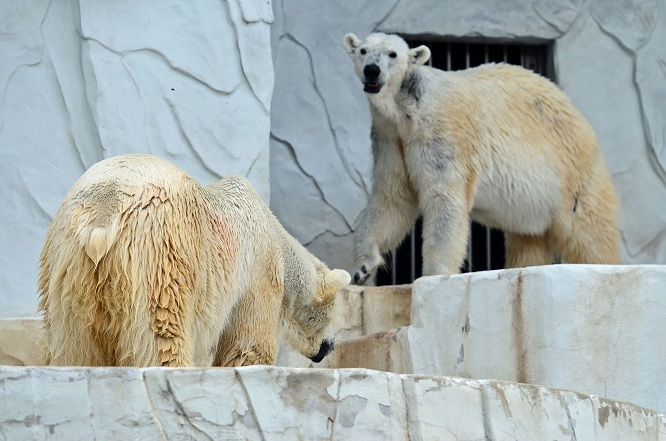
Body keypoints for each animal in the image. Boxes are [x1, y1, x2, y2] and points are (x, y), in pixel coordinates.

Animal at [37, 153, 350, 366]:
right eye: (333, 314)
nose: (330, 346)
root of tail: (105, 212)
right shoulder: (258, 273)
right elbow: (248, 344)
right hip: (161, 251)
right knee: (163, 334)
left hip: (67, 267)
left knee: (73, 345)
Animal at [340, 32, 620, 284]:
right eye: (363, 50)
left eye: (393, 54)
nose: (372, 70)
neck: (408, 108)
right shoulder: (391, 139)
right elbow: (392, 196)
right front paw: (363, 268)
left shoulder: (440, 136)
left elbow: (444, 201)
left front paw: (434, 274)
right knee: (528, 239)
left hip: (572, 171)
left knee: (588, 231)